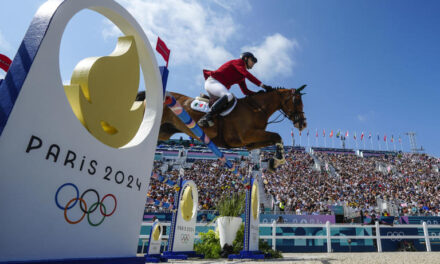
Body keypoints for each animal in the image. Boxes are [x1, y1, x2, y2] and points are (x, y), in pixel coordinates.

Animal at [157, 85, 306, 170]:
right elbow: (277, 136)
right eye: (297, 101)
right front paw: (278, 160)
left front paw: (274, 162)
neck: (257, 109)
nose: (303, 124)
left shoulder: (250, 142)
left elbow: (273, 139)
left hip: (164, 132)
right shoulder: (246, 135)